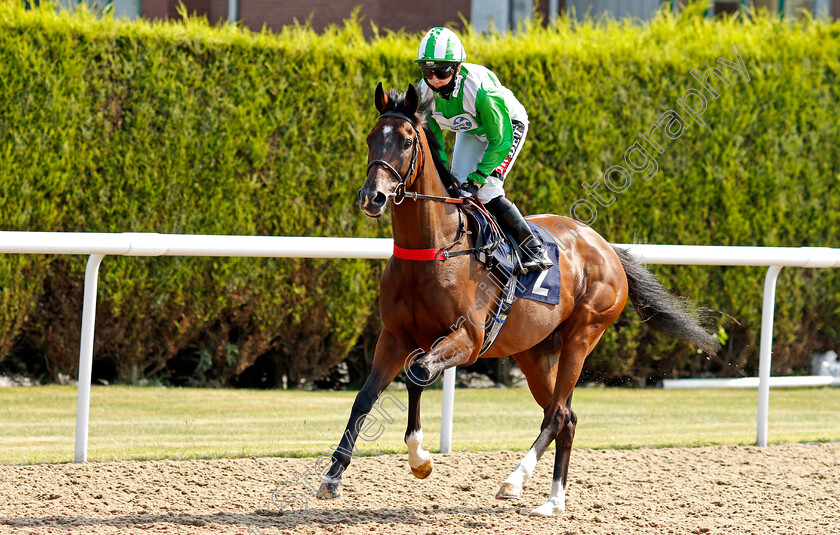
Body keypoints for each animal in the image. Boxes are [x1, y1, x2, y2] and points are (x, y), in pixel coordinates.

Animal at [318, 82, 720, 516]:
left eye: (407, 141)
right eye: (371, 138)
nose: (372, 197)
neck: (433, 249)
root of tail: (605, 246)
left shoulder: (469, 340)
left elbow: (419, 372)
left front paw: (419, 457)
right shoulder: (394, 337)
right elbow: (367, 397)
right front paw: (336, 476)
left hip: (582, 335)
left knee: (557, 414)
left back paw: (515, 480)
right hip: (534, 351)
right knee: (567, 416)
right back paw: (554, 500)